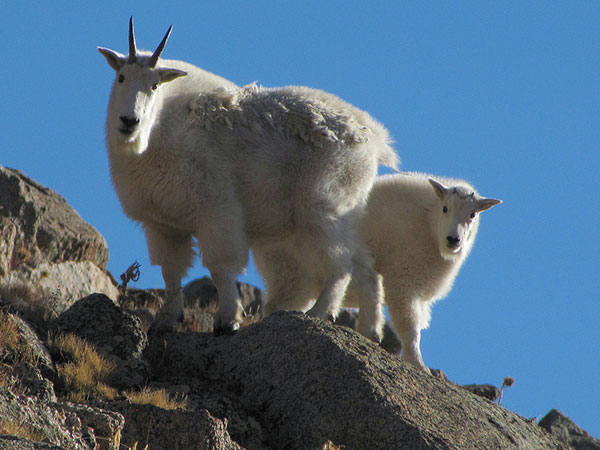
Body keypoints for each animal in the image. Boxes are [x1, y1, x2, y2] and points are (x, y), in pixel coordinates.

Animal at [98, 19, 398, 336]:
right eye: (121, 77)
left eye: (154, 85)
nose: (129, 121)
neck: (158, 133)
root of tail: (373, 140)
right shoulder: (163, 224)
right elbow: (171, 271)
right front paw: (166, 321)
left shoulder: (216, 208)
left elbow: (221, 266)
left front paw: (227, 320)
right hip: (344, 214)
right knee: (367, 269)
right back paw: (370, 330)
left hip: (322, 207)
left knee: (340, 264)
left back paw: (318, 313)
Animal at [346, 172, 502, 372]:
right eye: (445, 208)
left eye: (472, 214)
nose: (453, 240)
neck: (428, 224)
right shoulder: (402, 280)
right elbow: (410, 325)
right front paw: (418, 364)